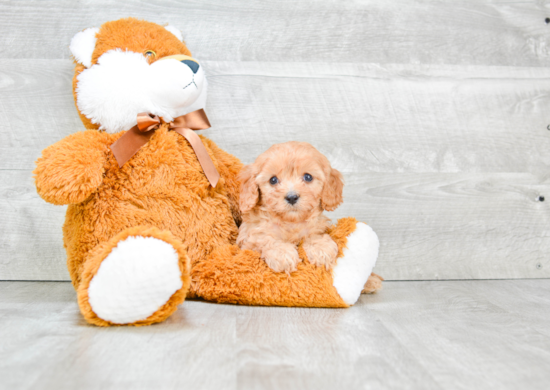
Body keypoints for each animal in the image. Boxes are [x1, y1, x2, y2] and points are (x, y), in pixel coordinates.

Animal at [237, 142, 344, 272]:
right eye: (273, 180)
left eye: (308, 177)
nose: (292, 197)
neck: (291, 222)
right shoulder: (249, 238)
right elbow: (265, 239)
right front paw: (282, 253)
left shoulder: (316, 227)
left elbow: (314, 235)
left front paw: (321, 248)